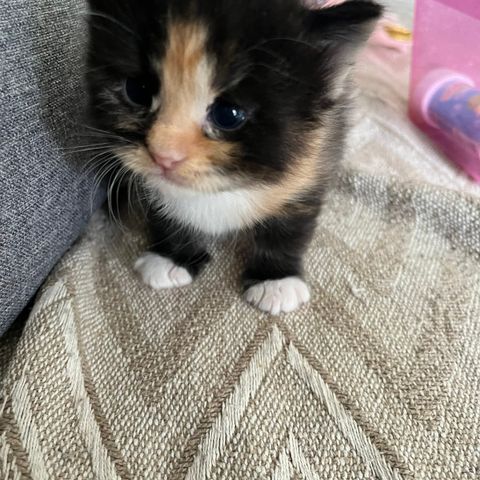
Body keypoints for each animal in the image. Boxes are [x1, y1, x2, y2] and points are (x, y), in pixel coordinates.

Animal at [84, 0, 380, 316]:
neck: (223, 186)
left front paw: (275, 279)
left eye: (229, 114)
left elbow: (292, 224)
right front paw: (173, 256)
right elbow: (163, 208)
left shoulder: (315, 158)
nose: (164, 156)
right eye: (136, 91)